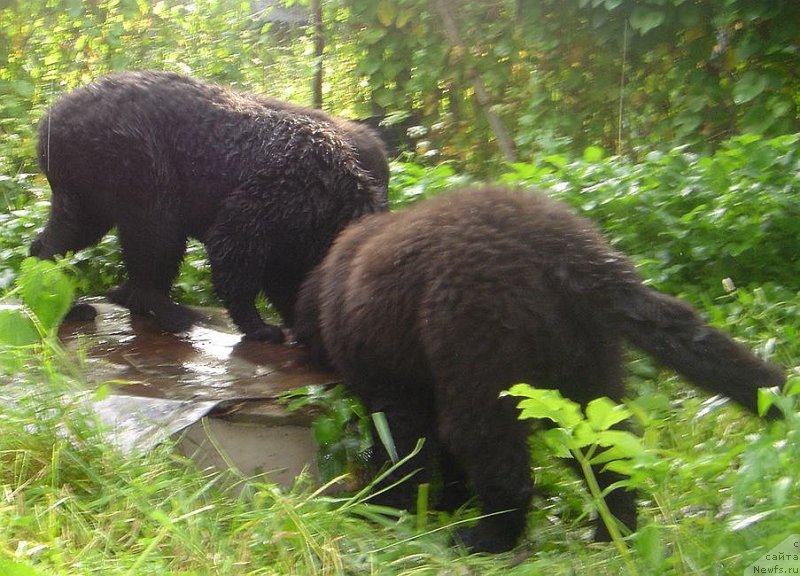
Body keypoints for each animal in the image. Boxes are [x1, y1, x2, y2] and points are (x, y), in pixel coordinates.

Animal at [32, 72, 390, 342]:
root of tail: (51, 117)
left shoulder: (293, 232)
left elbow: (283, 275)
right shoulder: (275, 196)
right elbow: (233, 247)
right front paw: (260, 327)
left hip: (87, 186)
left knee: (69, 232)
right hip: (134, 159)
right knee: (156, 233)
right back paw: (168, 312)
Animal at [296, 186, 788, 552]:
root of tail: (573, 255)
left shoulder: (395, 390)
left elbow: (403, 453)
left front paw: (385, 511)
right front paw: (446, 502)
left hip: (482, 356)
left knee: (499, 460)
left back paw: (485, 540)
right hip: (584, 368)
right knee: (606, 453)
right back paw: (613, 533)